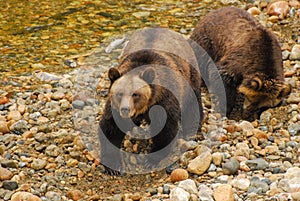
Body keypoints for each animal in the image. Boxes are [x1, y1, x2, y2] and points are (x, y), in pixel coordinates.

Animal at [99, 27, 203, 174]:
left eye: (135, 94)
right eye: (120, 94)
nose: (125, 109)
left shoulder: (164, 100)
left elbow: (165, 129)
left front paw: (150, 159)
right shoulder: (114, 107)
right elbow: (111, 128)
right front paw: (112, 165)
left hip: (189, 74)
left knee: (193, 103)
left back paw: (193, 129)